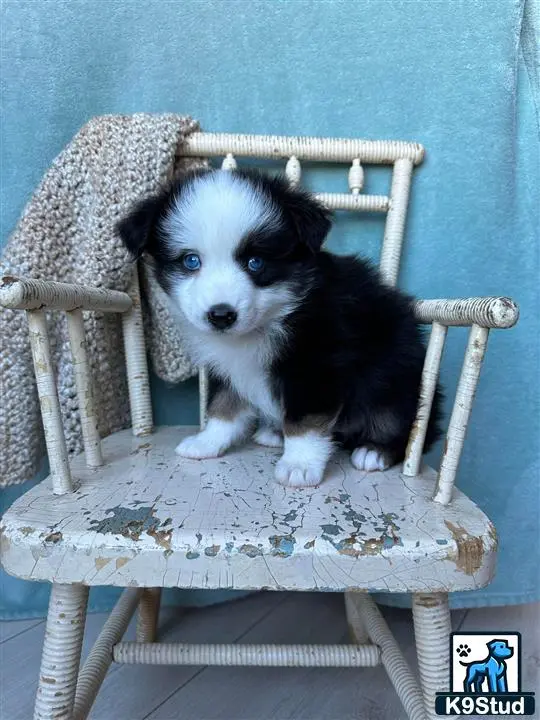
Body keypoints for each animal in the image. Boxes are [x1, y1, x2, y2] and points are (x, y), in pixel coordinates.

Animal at [117, 167, 438, 490]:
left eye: (255, 262)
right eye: (191, 261)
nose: (221, 315)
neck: (266, 323)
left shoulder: (316, 366)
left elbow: (305, 420)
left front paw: (300, 464)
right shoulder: (228, 366)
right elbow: (222, 406)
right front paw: (207, 442)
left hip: (393, 382)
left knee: (404, 427)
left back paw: (375, 451)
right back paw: (274, 433)